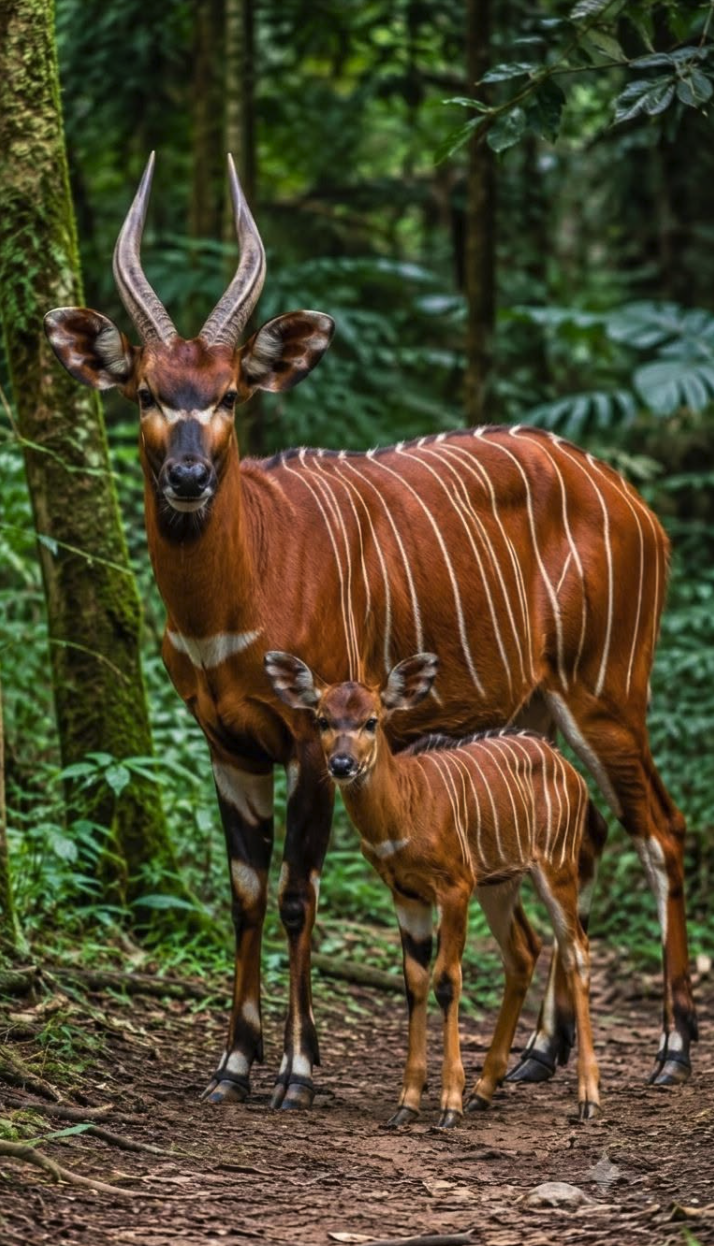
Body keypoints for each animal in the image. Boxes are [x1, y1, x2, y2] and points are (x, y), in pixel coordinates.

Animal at [265, 650, 607, 1126]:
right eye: (322, 719)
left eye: (372, 720)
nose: (342, 765)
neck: (404, 810)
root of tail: (566, 764)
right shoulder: (407, 894)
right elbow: (414, 982)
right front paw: (407, 1104)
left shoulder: (454, 888)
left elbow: (447, 980)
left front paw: (449, 1105)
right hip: (499, 883)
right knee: (524, 949)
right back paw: (484, 1091)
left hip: (554, 866)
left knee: (576, 949)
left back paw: (588, 1098)